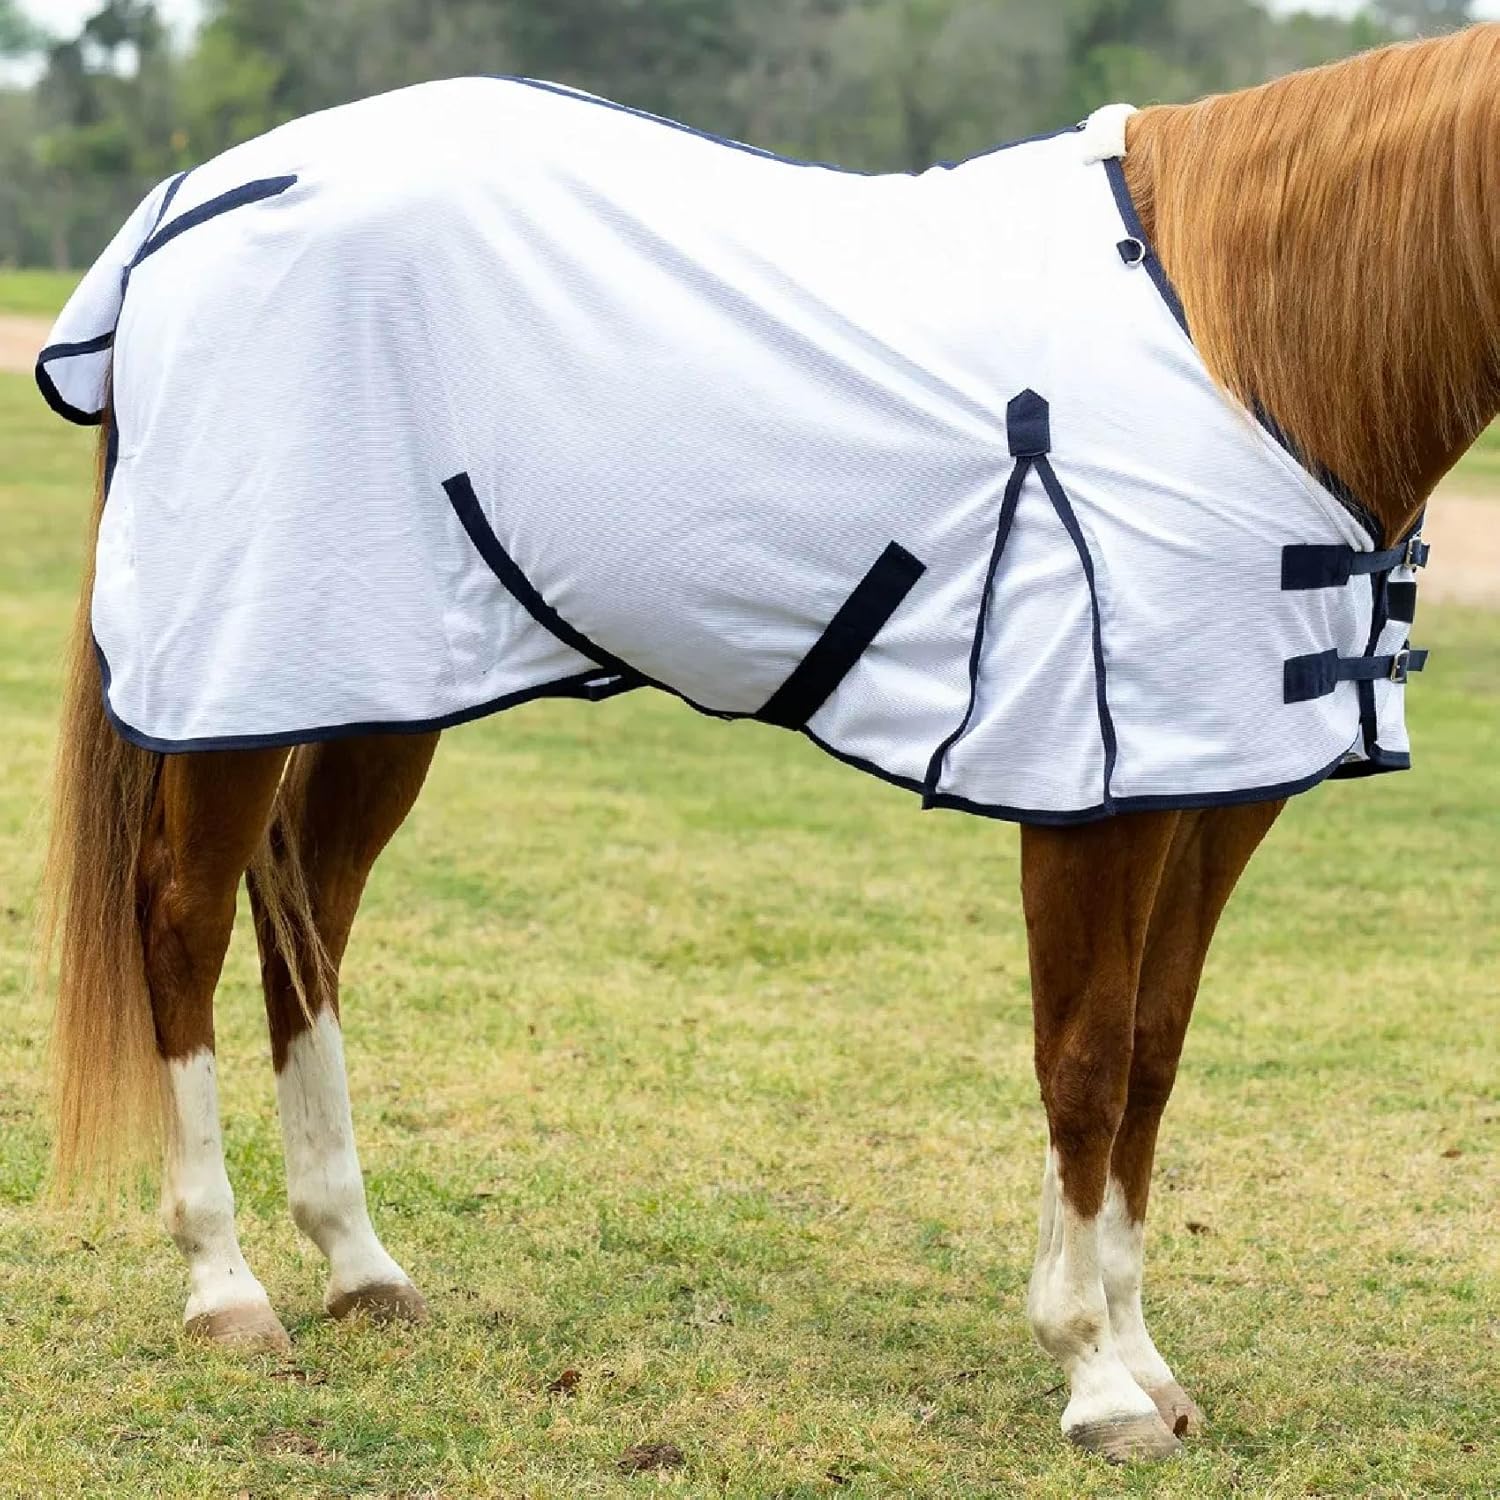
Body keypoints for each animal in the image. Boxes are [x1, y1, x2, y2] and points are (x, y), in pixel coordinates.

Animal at [37, 25, 1499, 1463]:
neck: (1252, 346)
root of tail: (193, 200)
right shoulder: (1092, 802)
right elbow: (1082, 1065)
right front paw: (1094, 1377)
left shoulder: (1214, 790)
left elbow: (1150, 1057)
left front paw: (1144, 1362)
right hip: (236, 670)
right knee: (184, 918)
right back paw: (225, 1288)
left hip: (377, 673)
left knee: (310, 915)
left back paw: (359, 1264)